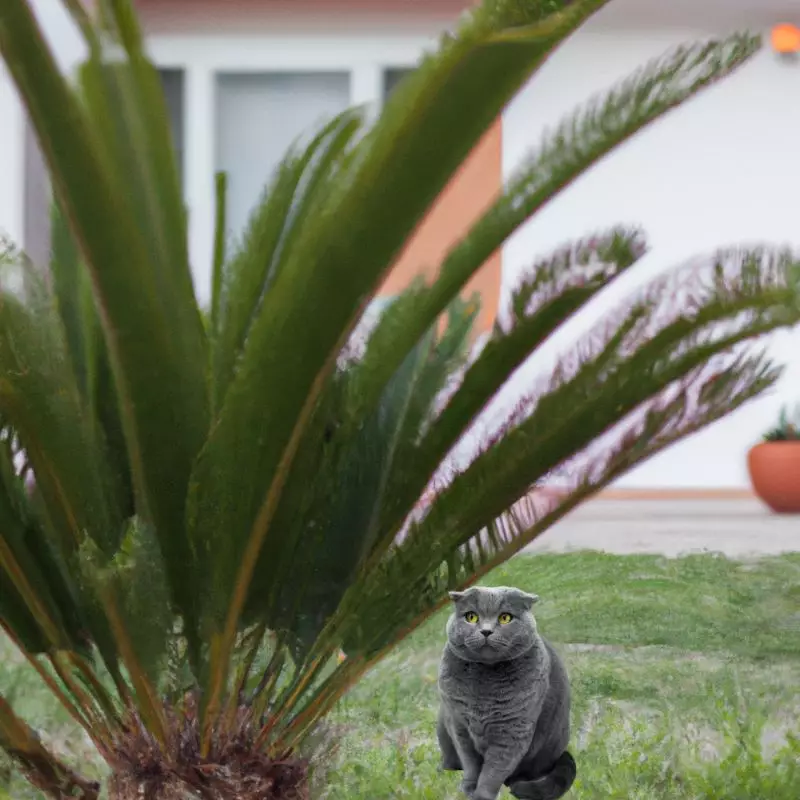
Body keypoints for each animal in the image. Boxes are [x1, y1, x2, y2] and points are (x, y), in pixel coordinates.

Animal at [438, 584, 576, 796]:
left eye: (505, 618)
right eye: (471, 617)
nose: (486, 631)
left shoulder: (512, 731)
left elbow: (493, 770)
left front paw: (481, 795)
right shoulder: (459, 725)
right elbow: (470, 762)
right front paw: (468, 787)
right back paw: (445, 767)